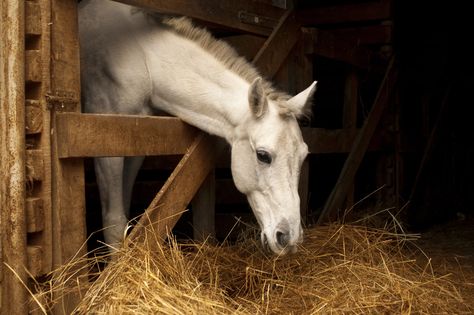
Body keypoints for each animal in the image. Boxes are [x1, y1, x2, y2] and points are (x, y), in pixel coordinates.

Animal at [78, 0, 314, 256]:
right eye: (263, 155)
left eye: (303, 156)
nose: (289, 238)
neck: (142, 59)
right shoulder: (106, 142)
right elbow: (114, 221)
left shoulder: (134, 147)